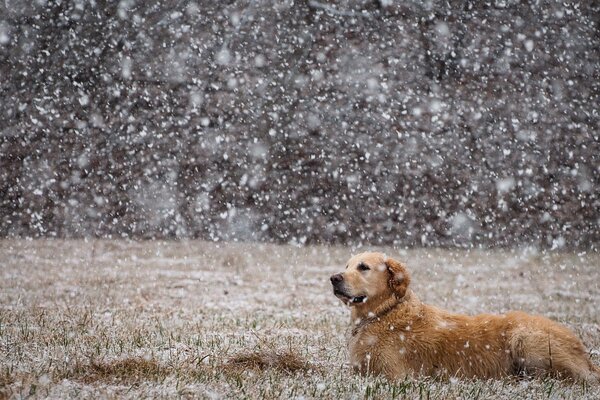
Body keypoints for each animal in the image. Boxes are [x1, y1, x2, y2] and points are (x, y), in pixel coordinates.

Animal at [330, 252, 596, 382]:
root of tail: (584, 352)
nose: (334, 278)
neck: (384, 313)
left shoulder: (394, 376)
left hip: (525, 338)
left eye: (363, 267)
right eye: (347, 265)